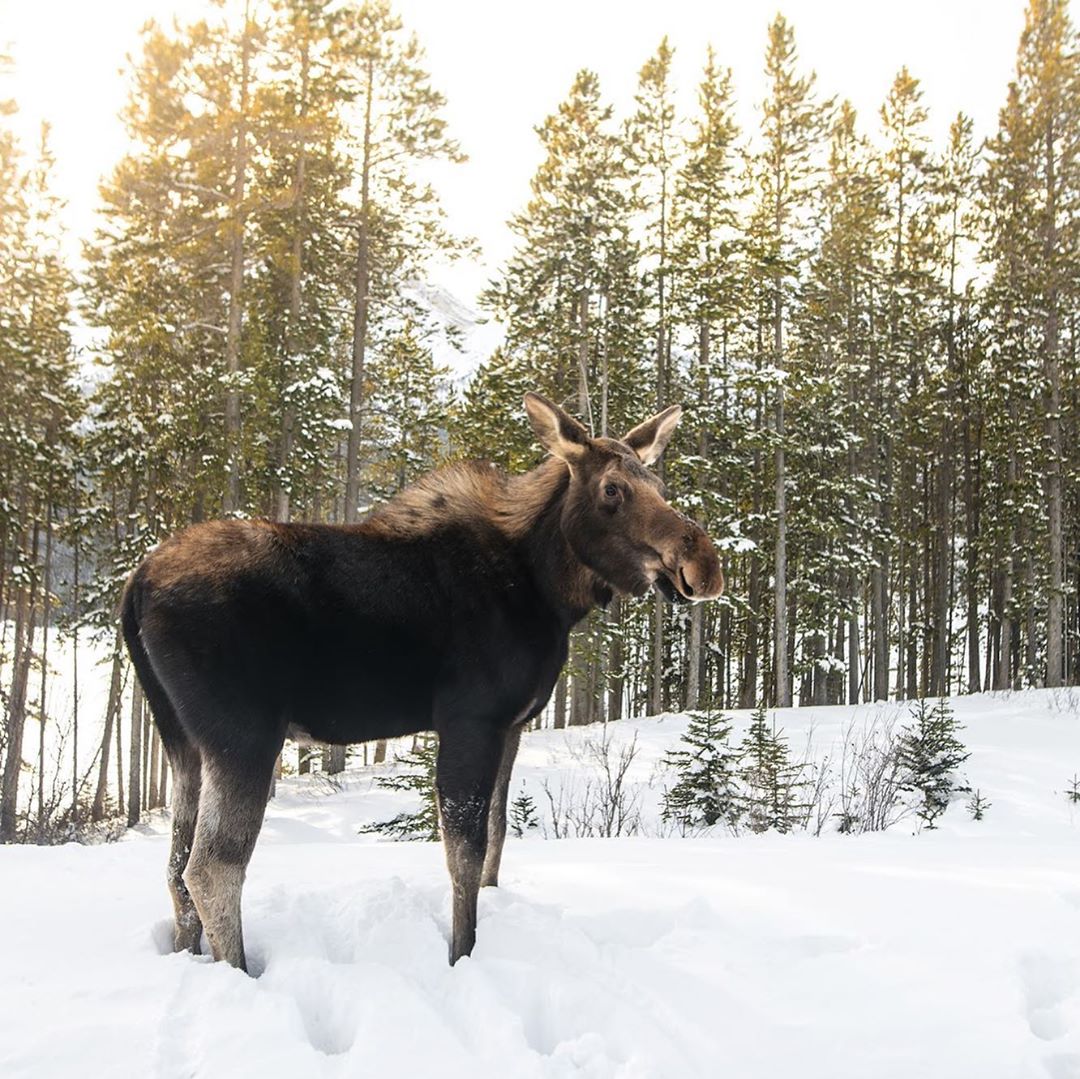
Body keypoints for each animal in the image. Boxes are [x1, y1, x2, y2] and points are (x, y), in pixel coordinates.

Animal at [122, 395, 721, 972]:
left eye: (660, 486)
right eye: (612, 488)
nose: (704, 563)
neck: (549, 591)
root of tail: (136, 584)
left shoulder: (513, 724)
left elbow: (498, 833)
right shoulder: (471, 718)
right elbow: (465, 851)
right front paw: (462, 955)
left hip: (182, 741)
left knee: (175, 863)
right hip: (243, 735)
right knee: (212, 867)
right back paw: (241, 971)